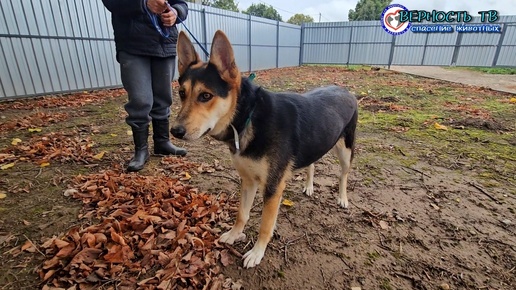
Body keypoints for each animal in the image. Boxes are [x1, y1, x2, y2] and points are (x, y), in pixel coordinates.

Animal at [171, 30, 356, 268]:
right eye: (182, 93)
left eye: (205, 96)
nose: (175, 131)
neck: (248, 116)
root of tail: (344, 89)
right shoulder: (248, 180)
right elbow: (242, 214)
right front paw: (234, 235)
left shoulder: (272, 187)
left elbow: (265, 226)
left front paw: (257, 252)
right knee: (312, 164)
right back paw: (309, 186)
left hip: (345, 152)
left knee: (343, 175)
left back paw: (342, 198)